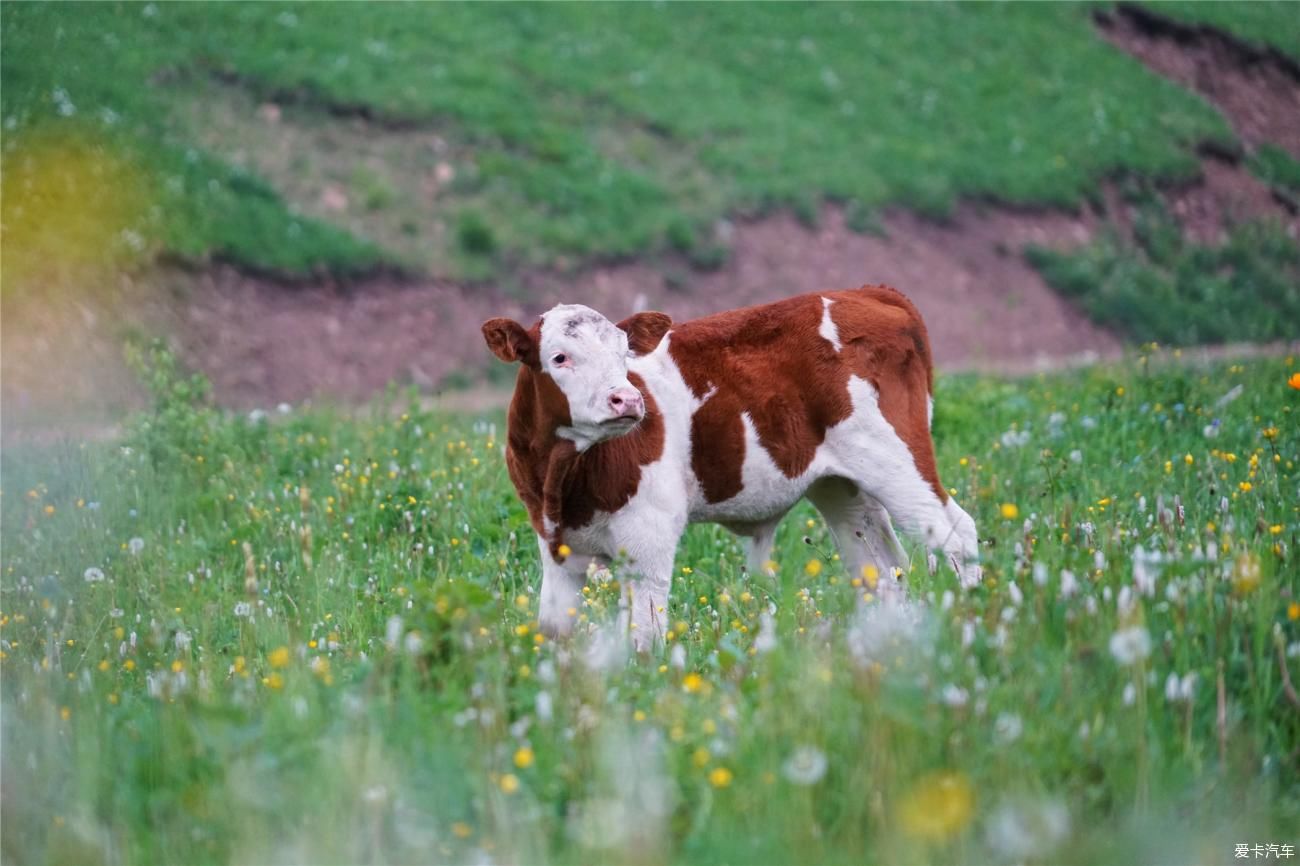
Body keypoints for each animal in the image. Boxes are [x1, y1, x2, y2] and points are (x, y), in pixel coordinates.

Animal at [483, 284, 977, 647]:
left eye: (624, 355)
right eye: (559, 357)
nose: (628, 399)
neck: (563, 480)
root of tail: (870, 292)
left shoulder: (649, 538)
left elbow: (645, 639)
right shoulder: (556, 548)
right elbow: (555, 635)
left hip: (897, 459)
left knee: (955, 534)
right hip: (842, 486)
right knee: (880, 568)